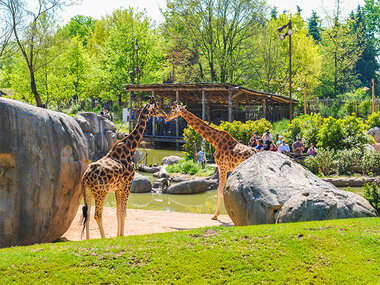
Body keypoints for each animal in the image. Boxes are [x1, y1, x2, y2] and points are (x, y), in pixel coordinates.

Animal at [81, 96, 166, 239]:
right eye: (157, 107)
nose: (165, 114)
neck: (130, 149)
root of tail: (86, 177)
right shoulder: (127, 183)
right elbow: (123, 212)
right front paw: (121, 235)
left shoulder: (118, 188)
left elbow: (118, 212)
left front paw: (118, 235)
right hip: (101, 192)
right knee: (97, 214)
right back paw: (103, 238)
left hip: (87, 191)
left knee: (87, 214)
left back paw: (87, 240)